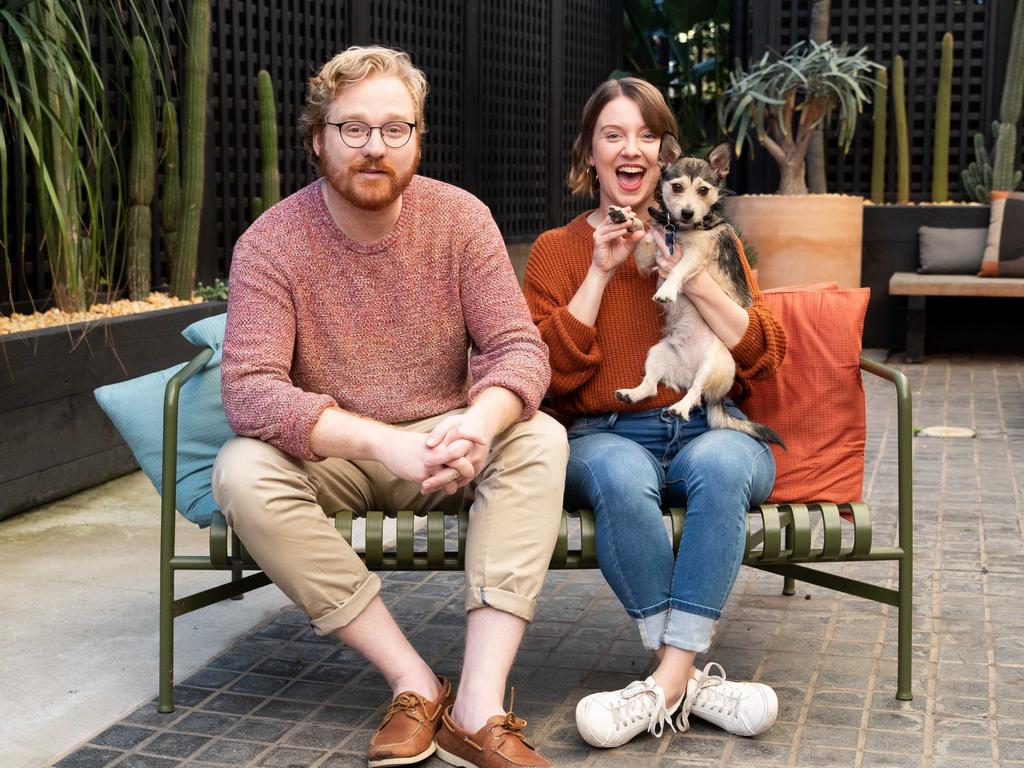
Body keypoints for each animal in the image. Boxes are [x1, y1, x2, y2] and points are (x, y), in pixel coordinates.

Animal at [606, 137, 782, 444]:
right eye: (677, 187)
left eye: (703, 190)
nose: (687, 212)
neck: (679, 229)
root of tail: (689, 373)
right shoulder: (648, 258)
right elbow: (643, 234)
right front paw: (626, 217)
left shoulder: (695, 256)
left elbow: (677, 270)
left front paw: (667, 291)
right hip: (657, 353)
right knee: (652, 386)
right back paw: (632, 394)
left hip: (713, 362)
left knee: (696, 393)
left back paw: (679, 407)